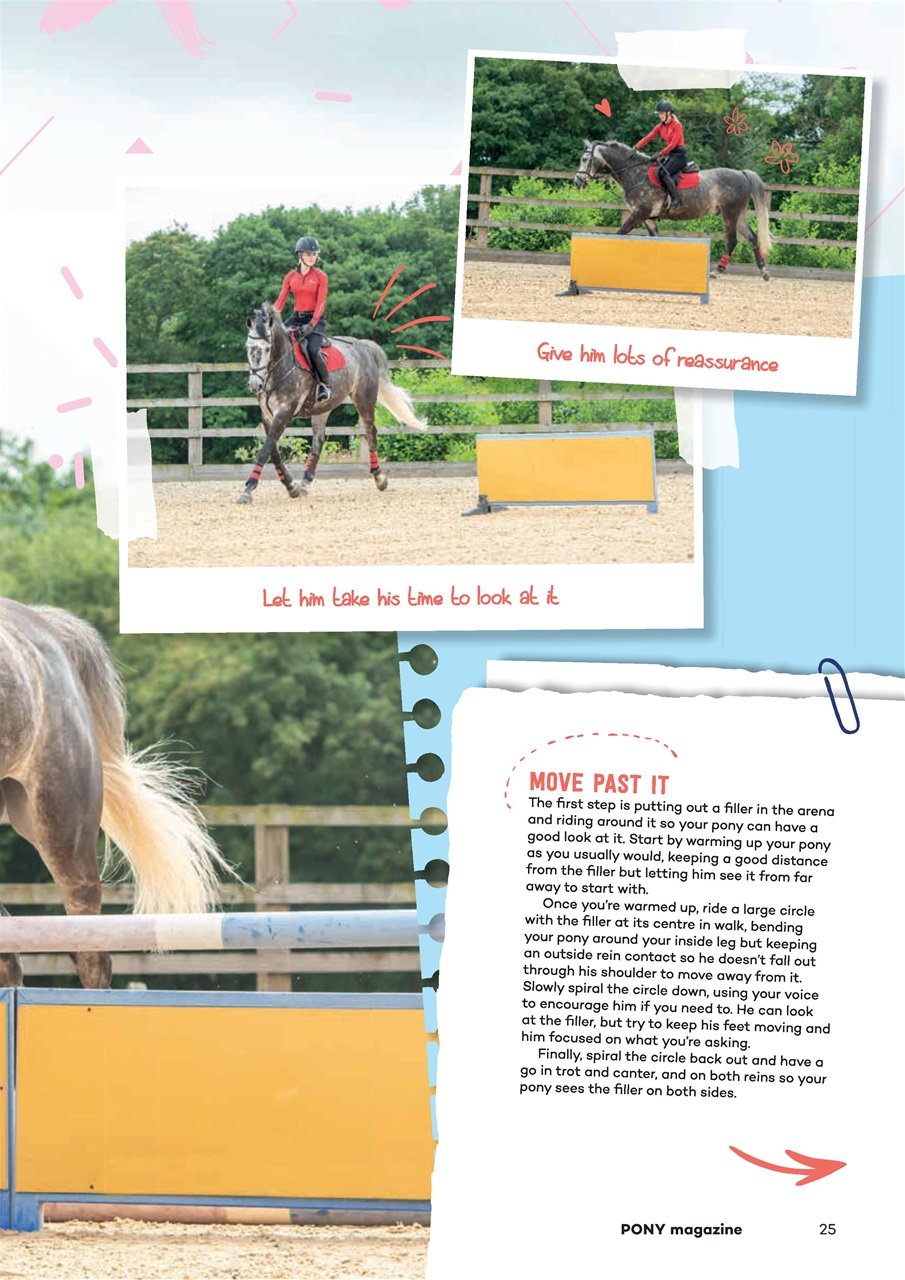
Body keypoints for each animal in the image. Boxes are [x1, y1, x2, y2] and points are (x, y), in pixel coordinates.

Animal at [240, 302, 427, 504]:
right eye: (248, 347)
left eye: (267, 349)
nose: (255, 385)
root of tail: (364, 346)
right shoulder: (268, 415)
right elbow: (273, 451)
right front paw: (291, 486)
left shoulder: (284, 412)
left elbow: (265, 450)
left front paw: (248, 489)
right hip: (322, 407)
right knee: (319, 441)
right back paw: (305, 482)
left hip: (364, 400)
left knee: (371, 433)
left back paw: (379, 478)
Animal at [573, 139, 772, 280]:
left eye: (585, 159)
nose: (577, 182)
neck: (637, 174)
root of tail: (741, 174)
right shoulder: (648, 218)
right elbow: (655, 241)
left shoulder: (639, 213)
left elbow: (619, 235)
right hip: (739, 215)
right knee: (753, 238)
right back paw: (763, 271)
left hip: (729, 214)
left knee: (731, 241)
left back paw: (717, 271)